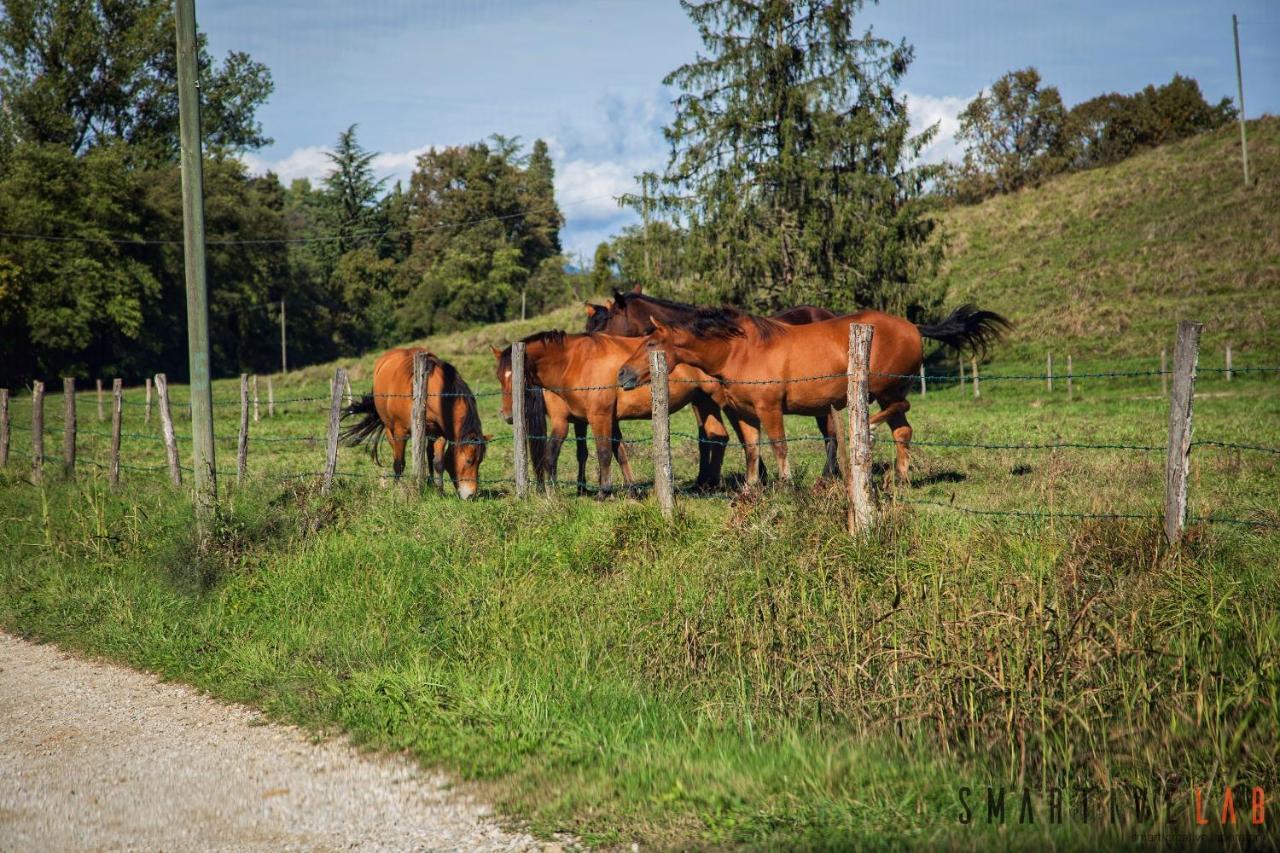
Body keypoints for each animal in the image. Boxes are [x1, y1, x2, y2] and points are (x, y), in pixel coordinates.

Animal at [340, 345, 488, 499]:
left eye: (480, 461)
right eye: (469, 460)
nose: (471, 495)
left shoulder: (439, 434)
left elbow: (438, 463)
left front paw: (439, 491)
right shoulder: (401, 432)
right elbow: (399, 463)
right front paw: (396, 490)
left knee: (429, 454)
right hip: (390, 429)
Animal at [488, 327, 737, 494]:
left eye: (518, 377)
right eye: (499, 377)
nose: (508, 416)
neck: (575, 361)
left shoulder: (592, 418)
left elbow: (601, 452)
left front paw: (601, 491)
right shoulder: (602, 418)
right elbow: (619, 453)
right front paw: (632, 491)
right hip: (703, 404)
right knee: (716, 437)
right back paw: (706, 484)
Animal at [586, 289, 839, 479]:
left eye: (608, 320)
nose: (590, 339)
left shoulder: (726, 402)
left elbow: (735, 437)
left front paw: (759, 475)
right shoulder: (703, 400)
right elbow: (707, 438)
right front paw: (704, 480)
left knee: (831, 433)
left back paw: (828, 474)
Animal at [619, 303, 1008, 484]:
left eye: (650, 343)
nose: (622, 373)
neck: (738, 350)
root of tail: (913, 326)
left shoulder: (770, 408)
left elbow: (778, 446)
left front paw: (785, 483)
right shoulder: (743, 412)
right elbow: (750, 449)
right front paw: (751, 487)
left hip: (884, 388)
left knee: (899, 409)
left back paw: (866, 430)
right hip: (884, 394)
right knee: (904, 430)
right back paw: (900, 477)